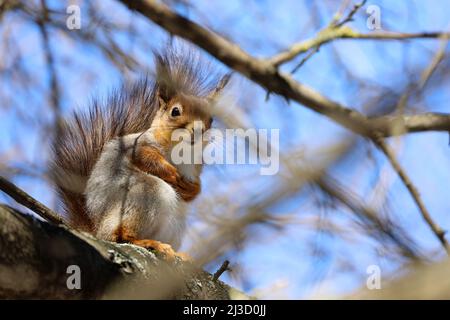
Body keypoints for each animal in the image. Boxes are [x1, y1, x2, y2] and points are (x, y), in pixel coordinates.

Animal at [50, 49, 229, 260]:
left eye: (211, 118)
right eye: (175, 111)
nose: (199, 130)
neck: (184, 151)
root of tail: (97, 230)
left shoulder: (195, 169)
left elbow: (195, 189)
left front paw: (191, 189)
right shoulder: (138, 146)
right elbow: (147, 158)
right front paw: (172, 174)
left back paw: (179, 254)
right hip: (144, 194)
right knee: (122, 235)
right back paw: (148, 243)